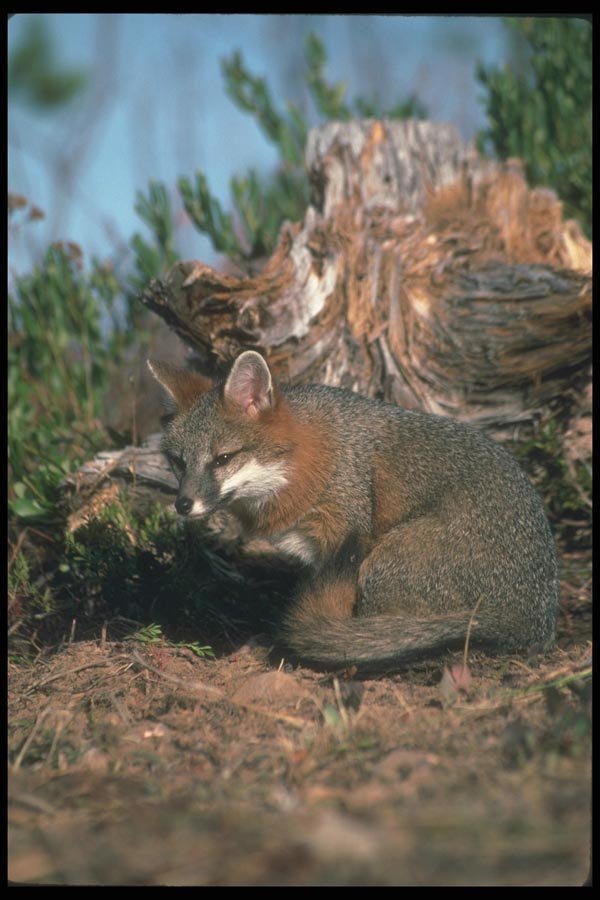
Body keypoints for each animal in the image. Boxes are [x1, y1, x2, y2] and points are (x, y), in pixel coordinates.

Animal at [148, 350, 559, 673]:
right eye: (178, 462)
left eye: (223, 459)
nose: (183, 504)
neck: (305, 463)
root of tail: (533, 619)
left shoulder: (345, 539)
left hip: (380, 566)